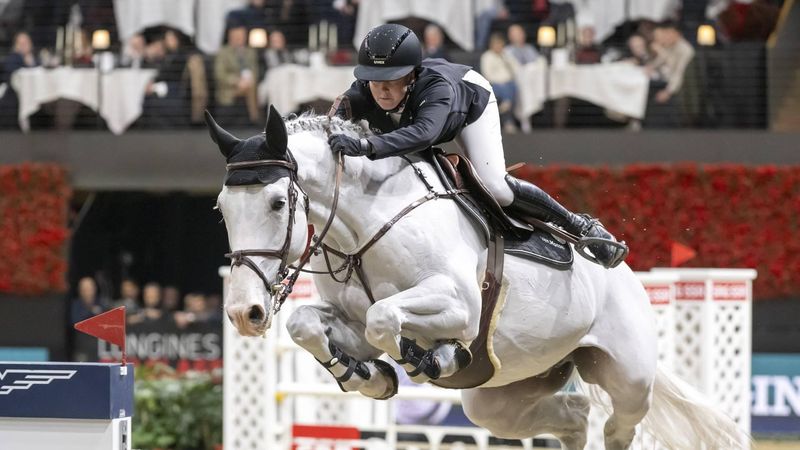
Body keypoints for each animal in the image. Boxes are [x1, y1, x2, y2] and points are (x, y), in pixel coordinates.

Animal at [209, 106, 746, 450]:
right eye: (221, 208)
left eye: (277, 202)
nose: (244, 313)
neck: (365, 225)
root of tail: (632, 278)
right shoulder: (347, 320)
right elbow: (307, 325)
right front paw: (369, 377)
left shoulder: (460, 306)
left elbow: (386, 318)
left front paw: (432, 357)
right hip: (501, 397)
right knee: (572, 420)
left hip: (630, 377)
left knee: (619, 426)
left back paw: (596, 239)